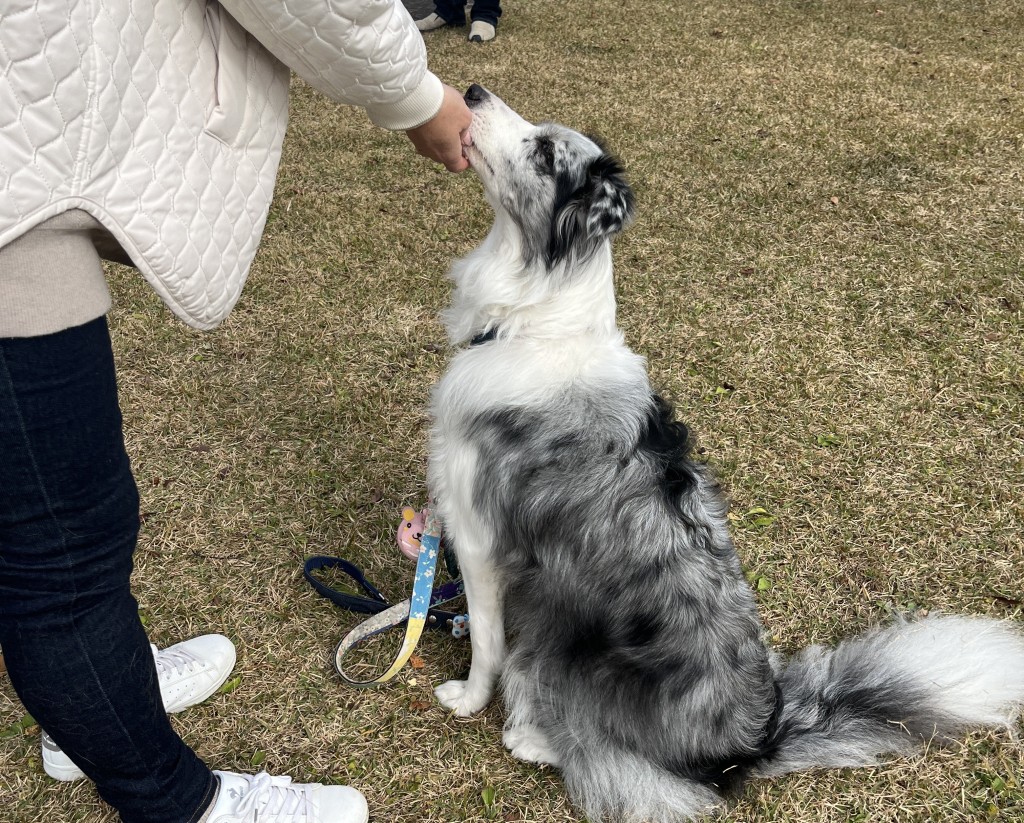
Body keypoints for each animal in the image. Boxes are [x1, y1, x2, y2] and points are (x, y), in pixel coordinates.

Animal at [426, 84, 1024, 822]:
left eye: (543, 151)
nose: (472, 92)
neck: (533, 323)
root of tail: (752, 742)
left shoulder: (480, 538)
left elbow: (485, 641)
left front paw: (466, 697)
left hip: (570, 638)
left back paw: (535, 736)